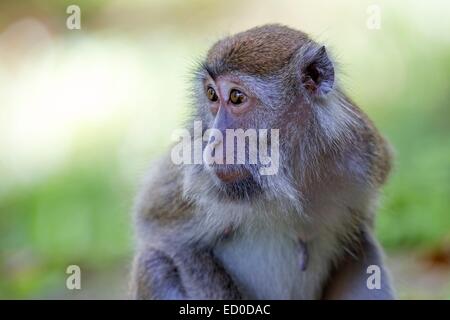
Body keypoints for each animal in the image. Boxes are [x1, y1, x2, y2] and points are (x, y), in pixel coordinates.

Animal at [129, 24, 394, 300]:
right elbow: (161, 230)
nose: (213, 141)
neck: (290, 172)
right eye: (212, 95)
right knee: (154, 262)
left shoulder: (364, 154)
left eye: (236, 97)